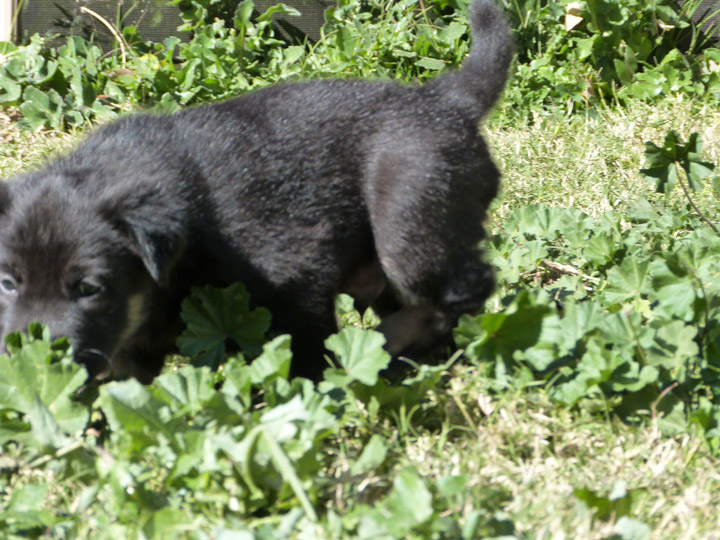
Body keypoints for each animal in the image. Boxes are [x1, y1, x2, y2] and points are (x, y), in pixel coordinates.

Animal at [0, 0, 512, 382]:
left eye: (90, 287)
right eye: (7, 283)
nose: (34, 359)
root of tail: (446, 100)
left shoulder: (295, 274)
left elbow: (304, 353)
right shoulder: (130, 347)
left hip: (409, 221)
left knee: (463, 290)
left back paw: (387, 343)